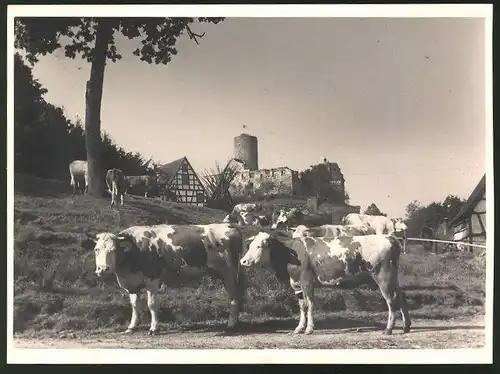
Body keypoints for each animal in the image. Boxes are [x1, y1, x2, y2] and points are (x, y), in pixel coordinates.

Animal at [80, 224, 246, 334]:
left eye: (113, 250)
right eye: (96, 249)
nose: (103, 269)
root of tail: (229, 225)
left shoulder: (152, 279)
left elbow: (152, 304)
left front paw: (154, 328)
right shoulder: (132, 283)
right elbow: (135, 305)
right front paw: (131, 327)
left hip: (229, 273)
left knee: (235, 297)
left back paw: (231, 324)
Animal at [241, 231, 410, 336]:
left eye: (259, 246)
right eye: (250, 246)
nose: (243, 261)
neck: (290, 253)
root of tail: (388, 237)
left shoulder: (307, 281)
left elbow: (309, 305)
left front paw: (309, 329)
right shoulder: (297, 285)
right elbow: (301, 306)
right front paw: (298, 328)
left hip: (383, 275)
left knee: (391, 300)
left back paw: (388, 329)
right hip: (393, 276)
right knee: (401, 296)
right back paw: (406, 326)